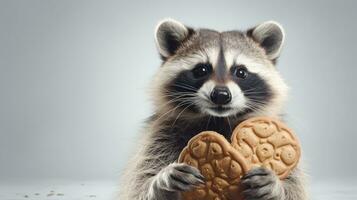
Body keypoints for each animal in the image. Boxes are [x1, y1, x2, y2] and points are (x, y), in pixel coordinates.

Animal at [119, 18, 306, 200]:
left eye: (241, 72)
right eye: (201, 69)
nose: (221, 95)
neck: (217, 120)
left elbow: (296, 188)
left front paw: (276, 187)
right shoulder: (159, 135)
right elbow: (138, 185)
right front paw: (161, 183)